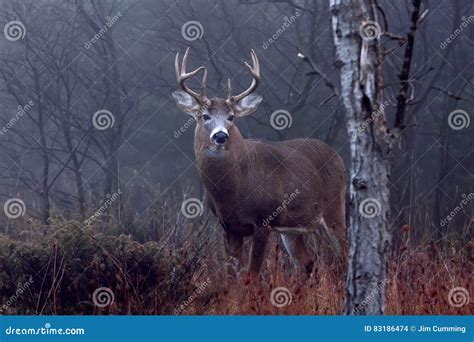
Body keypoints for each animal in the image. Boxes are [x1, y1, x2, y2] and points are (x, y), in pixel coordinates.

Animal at [172, 46, 346, 280]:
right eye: (204, 116)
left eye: (231, 116)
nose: (221, 136)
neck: (233, 192)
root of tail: (338, 157)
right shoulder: (228, 228)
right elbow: (234, 276)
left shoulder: (264, 220)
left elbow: (251, 276)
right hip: (293, 228)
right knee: (307, 261)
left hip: (334, 209)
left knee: (344, 254)